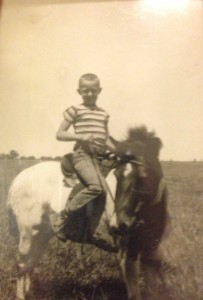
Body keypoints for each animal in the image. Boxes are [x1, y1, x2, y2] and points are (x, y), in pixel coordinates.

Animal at [7, 126, 168, 300]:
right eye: (117, 175)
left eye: (144, 176)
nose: (118, 224)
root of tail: (18, 179)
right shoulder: (127, 255)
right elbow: (134, 293)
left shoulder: (152, 254)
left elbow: (154, 290)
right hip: (28, 232)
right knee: (22, 263)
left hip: (42, 234)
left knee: (31, 262)